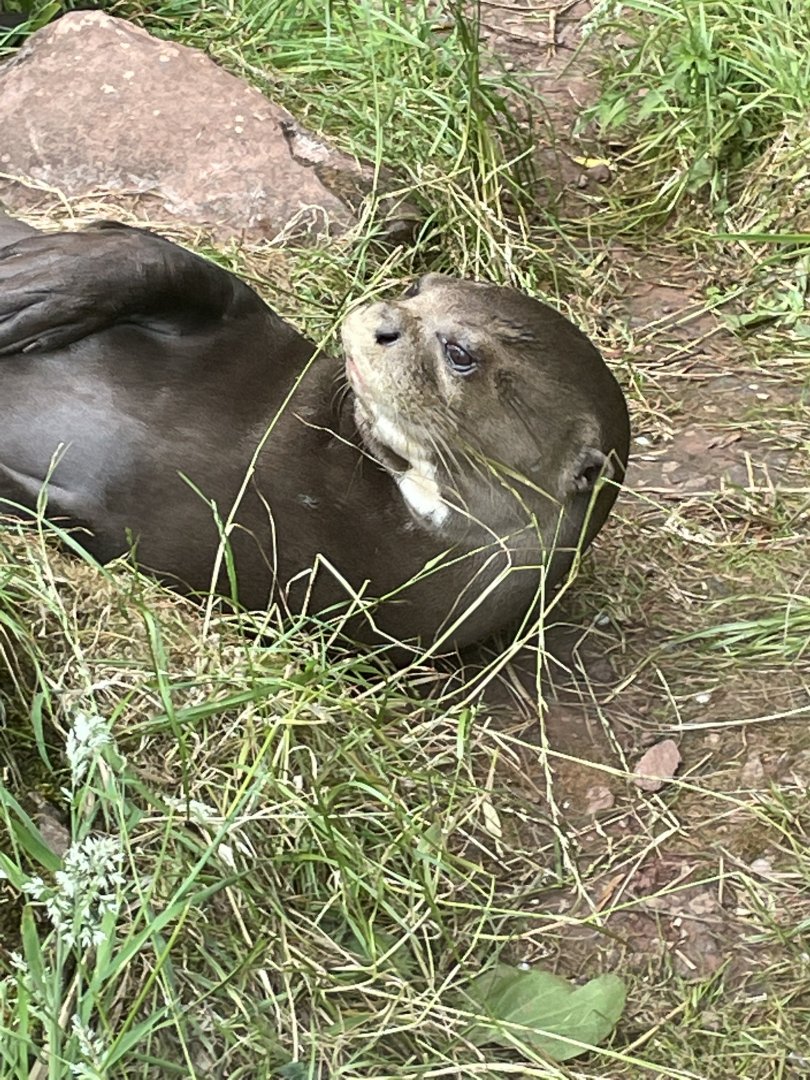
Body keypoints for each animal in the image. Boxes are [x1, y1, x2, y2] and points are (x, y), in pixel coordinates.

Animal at [0, 214, 629, 649]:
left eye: (460, 354)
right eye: (417, 287)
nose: (383, 320)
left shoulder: (194, 553)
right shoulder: (260, 335)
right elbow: (176, 267)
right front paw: (42, 280)